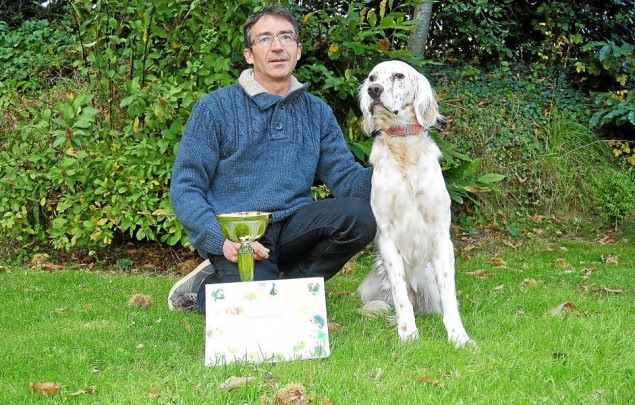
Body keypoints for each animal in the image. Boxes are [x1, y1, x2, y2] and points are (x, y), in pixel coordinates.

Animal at [358, 60, 472, 348]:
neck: (403, 146)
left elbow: (449, 296)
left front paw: (459, 336)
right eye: (372, 78)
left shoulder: (441, 237)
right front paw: (408, 333)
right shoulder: (387, 238)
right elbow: (400, 296)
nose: (374, 91)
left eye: (399, 75)